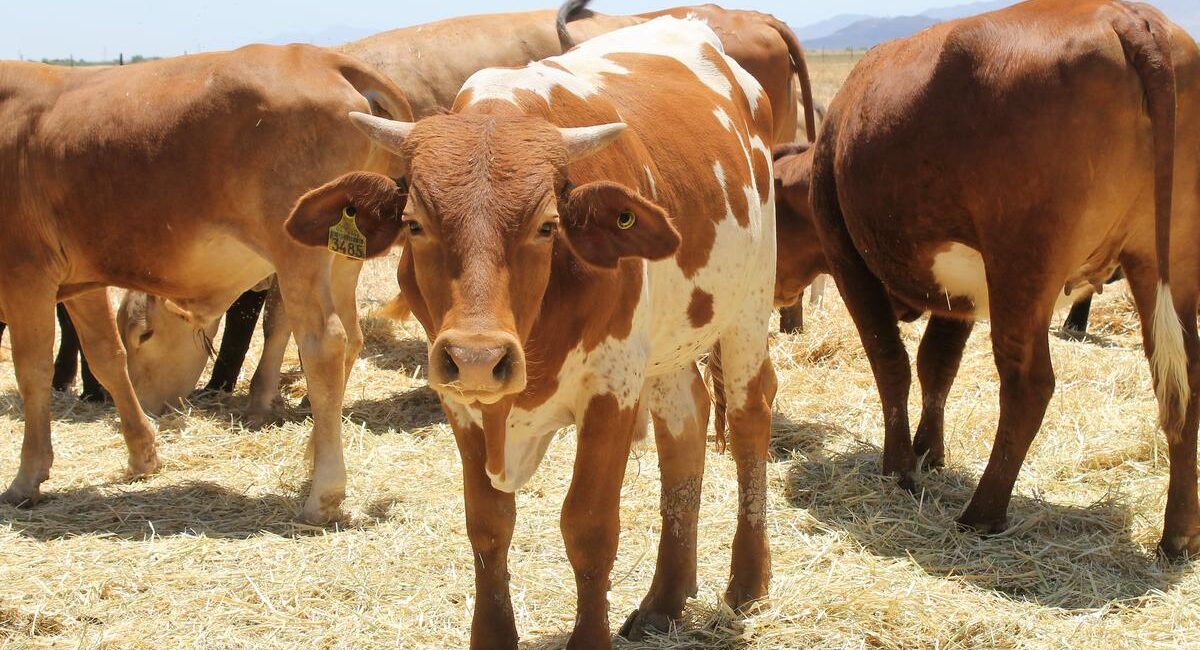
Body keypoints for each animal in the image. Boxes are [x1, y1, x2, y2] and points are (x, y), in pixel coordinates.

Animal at [0, 44, 410, 522]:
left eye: (148, 333)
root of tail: (329, 61)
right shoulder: (81, 283)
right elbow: (106, 357)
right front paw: (142, 455)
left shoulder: (26, 274)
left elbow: (33, 372)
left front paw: (26, 478)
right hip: (341, 257)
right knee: (351, 339)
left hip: (297, 250)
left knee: (324, 343)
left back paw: (323, 493)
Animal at [285, 17, 778, 647]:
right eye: (414, 223)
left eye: (548, 225)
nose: (478, 356)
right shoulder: (460, 400)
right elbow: (488, 523)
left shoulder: (612, 387)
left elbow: (589, 526)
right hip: (671, 342)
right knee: (684, 426)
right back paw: (665, 599)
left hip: (748, 311)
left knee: (747, 418)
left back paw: (747, 582)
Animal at [807, 0, 1200, 556]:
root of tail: (1125, 14)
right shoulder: (962, 296)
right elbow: (937, 365)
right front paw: (929, 452)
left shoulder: (847, 258)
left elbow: (892, 362)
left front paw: (900, 467)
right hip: (1166, 260)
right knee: (1182, 378)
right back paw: (1180, 533)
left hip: (1022, 267)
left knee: (1028, 385)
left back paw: (982, 512)